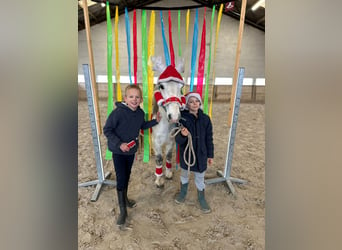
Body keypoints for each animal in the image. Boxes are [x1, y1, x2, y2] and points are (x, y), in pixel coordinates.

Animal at [151, 57, 186, 188]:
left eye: (181, 87)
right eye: (161, 86)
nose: (174, 116)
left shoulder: (171, 141)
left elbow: (169, 156)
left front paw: (168, 174)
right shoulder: (156, 143)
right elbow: (159, 158)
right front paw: (159, 180)